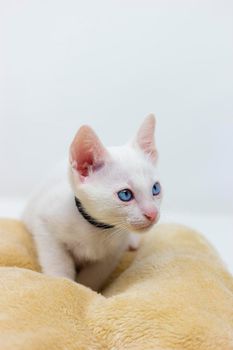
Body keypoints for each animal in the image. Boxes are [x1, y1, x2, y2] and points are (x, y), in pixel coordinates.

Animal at [23, 114, 162, 290]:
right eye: (125, 195)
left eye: (155, 189)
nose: (152, 213)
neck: (96, 228)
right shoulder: (45, 223)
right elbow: (57, 260)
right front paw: (63, 283)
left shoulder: (114, 251)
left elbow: (95, 274)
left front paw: (86, 289)